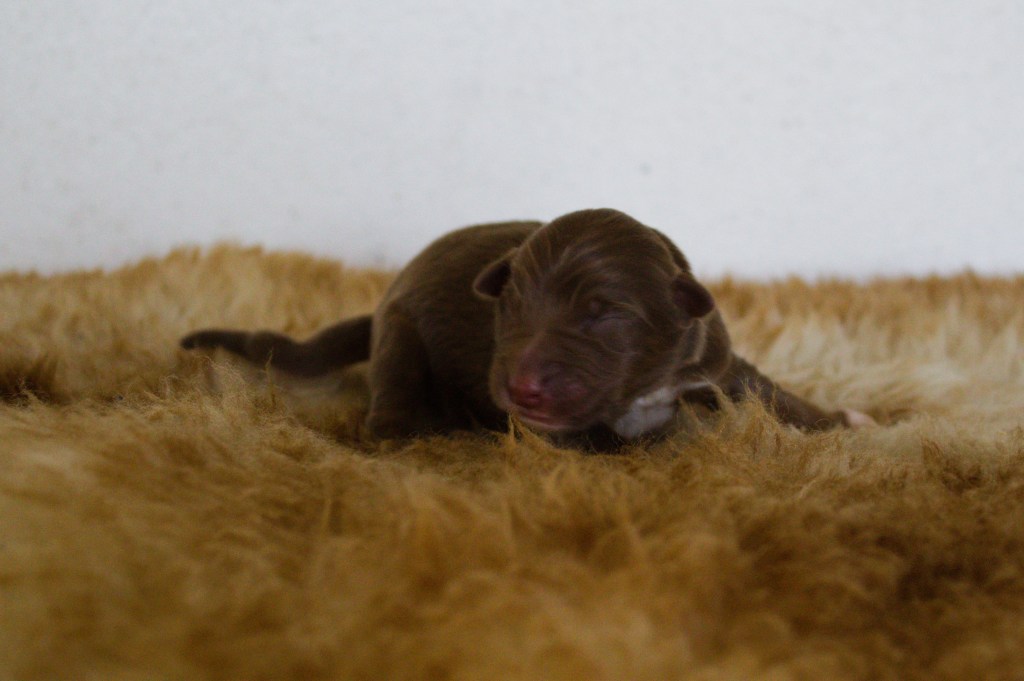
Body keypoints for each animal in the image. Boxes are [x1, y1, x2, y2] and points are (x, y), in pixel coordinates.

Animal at [182, 209, 872, 449]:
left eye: (605, 312)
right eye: (509, 305)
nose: (520, 390)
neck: (643, 389)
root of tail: (377, 311)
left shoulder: (710, 357)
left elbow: (764, 389)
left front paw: (840, 420)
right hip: (401, 340)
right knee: (389, 409)